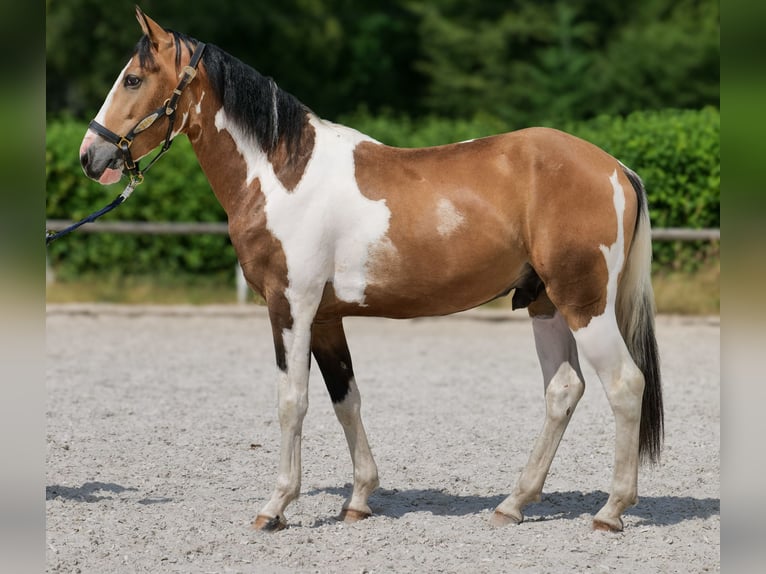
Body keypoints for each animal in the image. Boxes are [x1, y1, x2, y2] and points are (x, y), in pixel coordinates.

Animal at [79, 7, 663, 533]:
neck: (284, 173)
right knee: (563, 390)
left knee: (625, 385)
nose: (90, 155)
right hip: (545, 303)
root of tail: (615, 168)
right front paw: (359, 499)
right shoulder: (325, 316)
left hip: (585, 305)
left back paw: (611, 510)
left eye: (133, 78)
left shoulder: (290, 305)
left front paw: (276, 506)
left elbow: (292, 401)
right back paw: (512, 504)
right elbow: (346, 398)